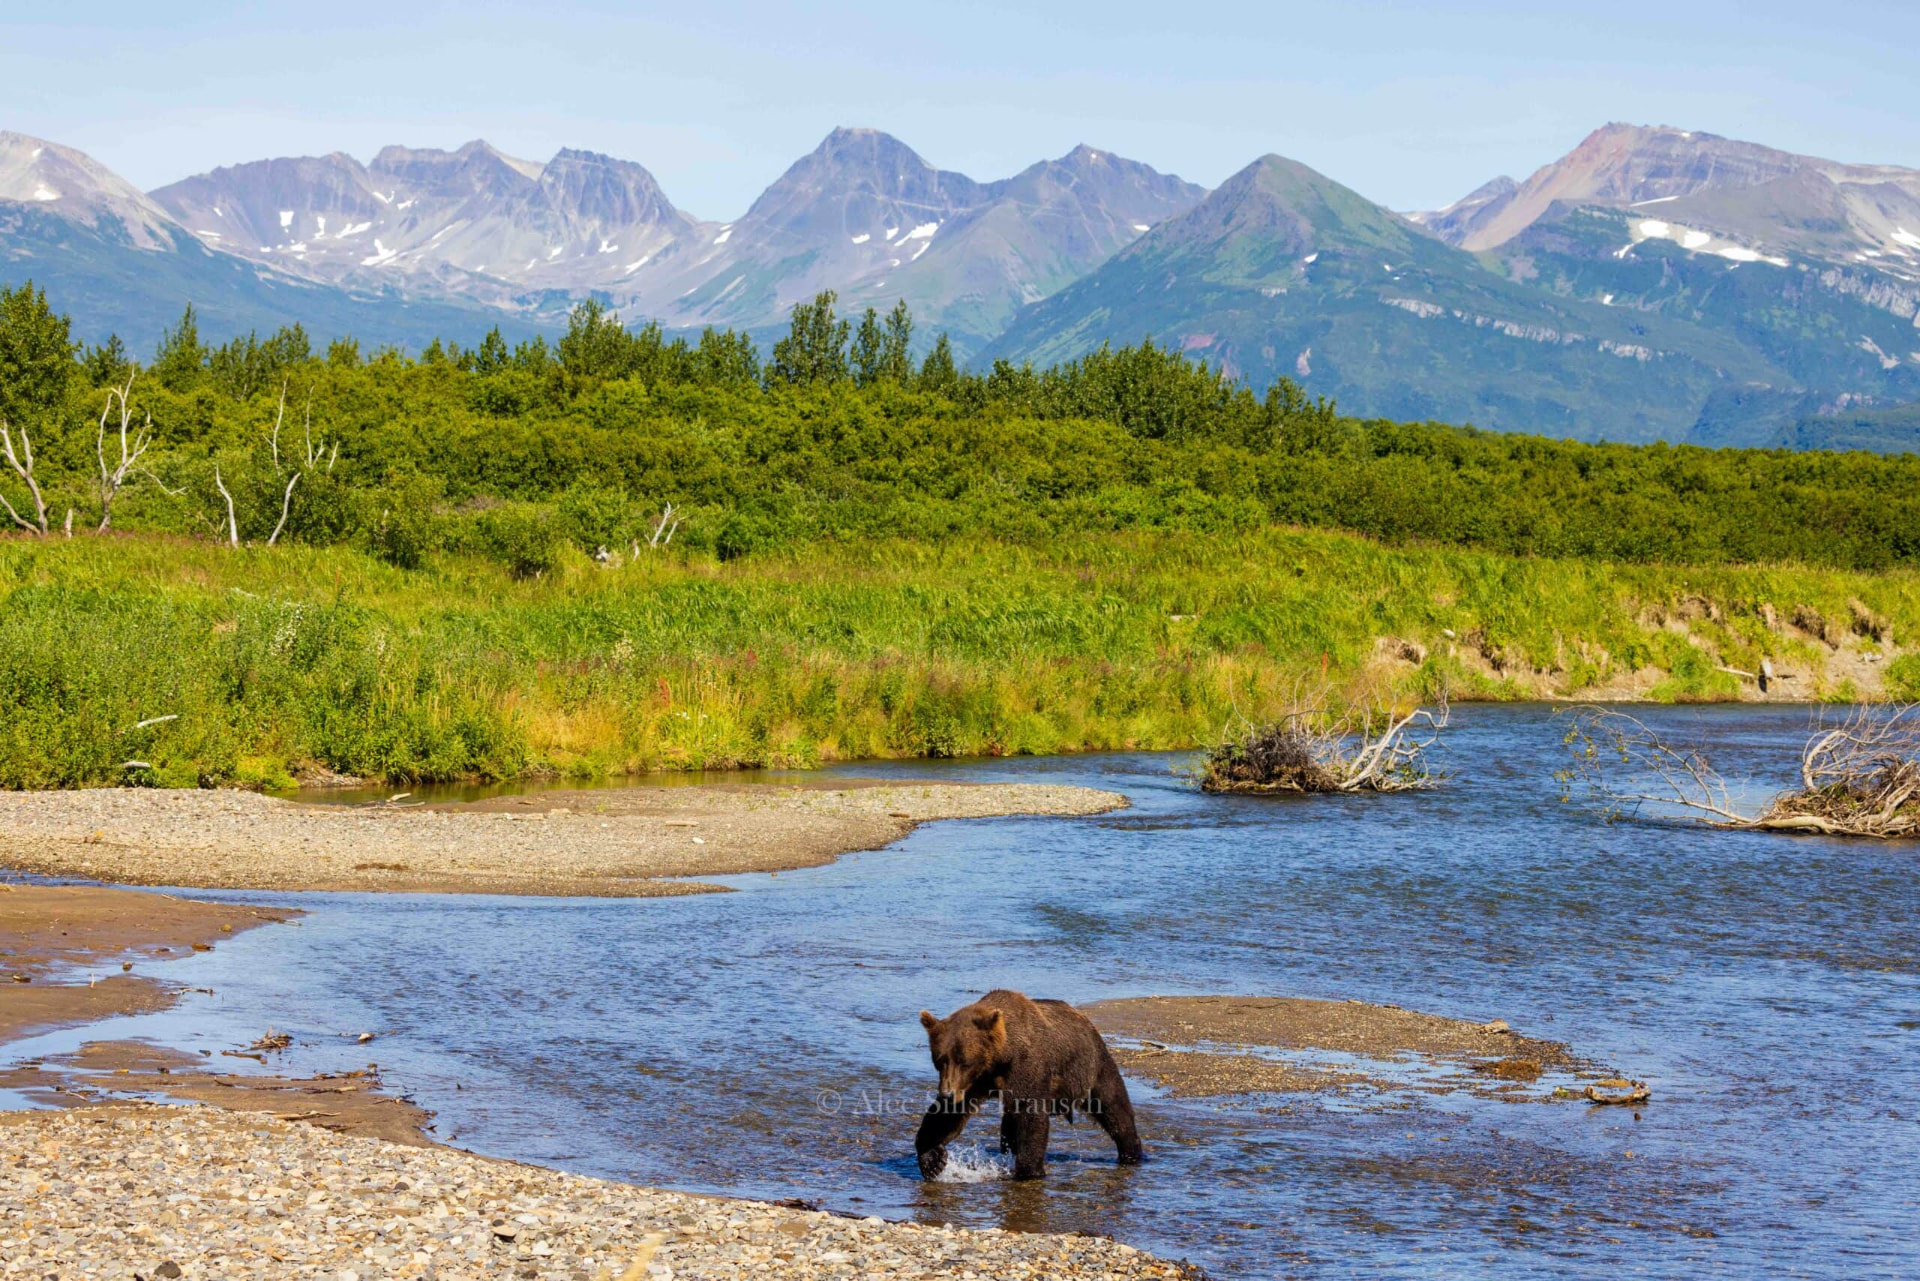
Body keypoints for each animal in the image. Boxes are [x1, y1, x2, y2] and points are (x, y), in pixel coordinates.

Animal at [915, 988, 1144, 1181]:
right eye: (940, 1060)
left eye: (965, 1061)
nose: (947, 1094)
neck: (1001, 1057)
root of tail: (1086, 1021)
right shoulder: (974, 1081)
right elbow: (949, 1116)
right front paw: (933, 1160)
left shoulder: (1024, 1067)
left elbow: (1031, 1115)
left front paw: (1029, 1171)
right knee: (1008, 1124)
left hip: (1092, 1066)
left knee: (1114, 1107)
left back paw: (1131, 1153)